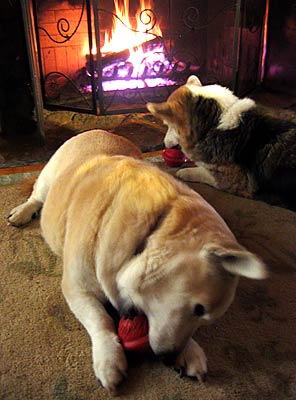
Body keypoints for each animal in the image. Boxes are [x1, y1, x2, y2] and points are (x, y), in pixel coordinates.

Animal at [8, 129, 268, 394]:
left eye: (203, 318)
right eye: (199, 309)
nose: (169, 357)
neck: (147, 233)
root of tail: (98, 131)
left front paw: (190, 350)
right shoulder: (76, 288)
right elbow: (100, 319)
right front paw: (109, 359)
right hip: (49, 175)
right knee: (37, 195)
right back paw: (21, 213)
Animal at [147, 74, 296, 209]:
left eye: (168, 125)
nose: (164, 144)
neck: (215, 123)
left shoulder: (232, 181)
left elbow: (201, 172)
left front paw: (183, 172)